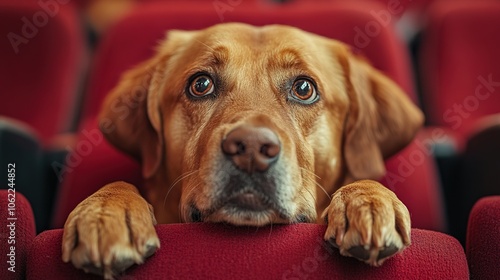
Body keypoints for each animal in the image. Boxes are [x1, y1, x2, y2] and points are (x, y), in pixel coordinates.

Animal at [61, 22, 422, 278]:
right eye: (201, 84)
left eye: (304, 88)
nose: (250, 148)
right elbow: (120, 186)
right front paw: (106, 211)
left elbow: (363, 185)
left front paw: (369, 200)